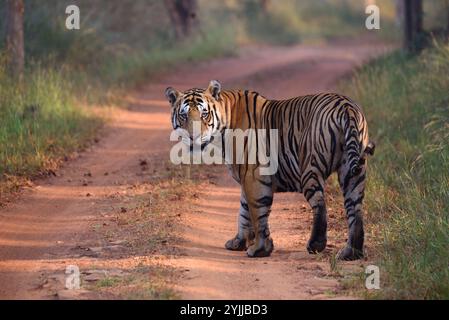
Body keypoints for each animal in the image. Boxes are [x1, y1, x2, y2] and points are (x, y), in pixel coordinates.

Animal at [164, 80, 374, 260]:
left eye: (204, 114)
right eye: (184, 115)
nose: (193, 137)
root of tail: (346, 107)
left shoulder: (254, 177)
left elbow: (258, 213)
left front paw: (260, 249)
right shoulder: (246, 177)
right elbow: (243, 212)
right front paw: (238, 242)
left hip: (310, 166)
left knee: (320, 204)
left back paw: (316, 245)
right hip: (353, 172)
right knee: (355, 209)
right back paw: (351, 253)